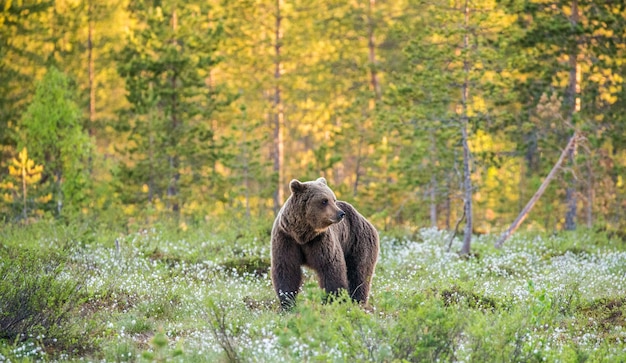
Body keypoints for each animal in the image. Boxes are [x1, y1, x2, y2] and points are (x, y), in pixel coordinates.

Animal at [266, 178, 376, 308]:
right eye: (324, 200)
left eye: (333, 199)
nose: (341, 213)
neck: (303, 234)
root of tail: (364, 219)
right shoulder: (286, 238)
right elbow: (286, 268)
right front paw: (287, 302)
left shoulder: (321, 240)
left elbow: (330, 267)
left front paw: (333, 300)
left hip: (358, 241)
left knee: (360, 273)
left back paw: (358, 301)